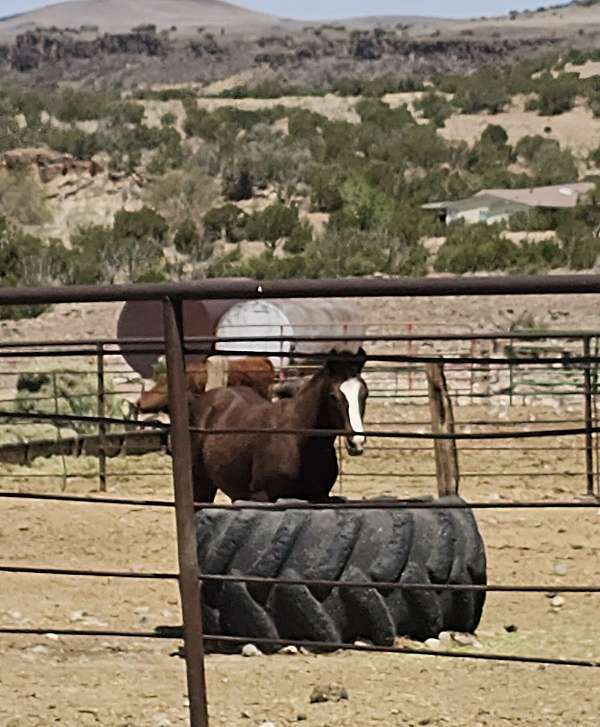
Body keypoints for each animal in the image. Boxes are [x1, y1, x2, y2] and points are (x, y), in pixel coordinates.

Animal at [188, 349, 368, 504]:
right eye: (333, 396)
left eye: (364, 394)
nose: (356, 442)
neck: (299, 440)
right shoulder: (262, 497)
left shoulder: (320, 497)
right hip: (201, 485)